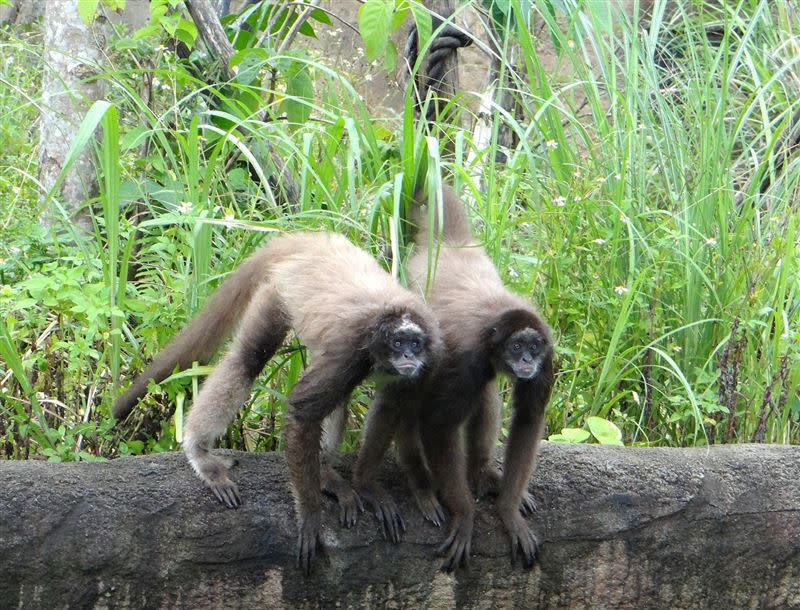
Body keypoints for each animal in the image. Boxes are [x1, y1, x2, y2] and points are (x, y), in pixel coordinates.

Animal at [112, 230, 440, 572]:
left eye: (415, 344)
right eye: (399, 343)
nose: (408, 356)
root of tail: (313, 242)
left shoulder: (428, 354)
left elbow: (390, 407)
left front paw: (367, 487)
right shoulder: (351, 348)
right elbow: (301, 410)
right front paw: (310, 516)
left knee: (336, 394)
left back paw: (324, 471)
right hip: (279, 291)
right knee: (249, 359)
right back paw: (200, 452)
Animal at [328, 186, 552, 568]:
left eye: (533, 347)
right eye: (517, 346)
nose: (525, 359)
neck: (498, 318)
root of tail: (451, 245)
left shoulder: (547, 353)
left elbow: (528, 419)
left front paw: (508, 509)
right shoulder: (465, 357)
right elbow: (437, 425)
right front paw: (465, 515)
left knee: (484, 391)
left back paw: (480, 471)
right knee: (406, 396)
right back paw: (410, 479)